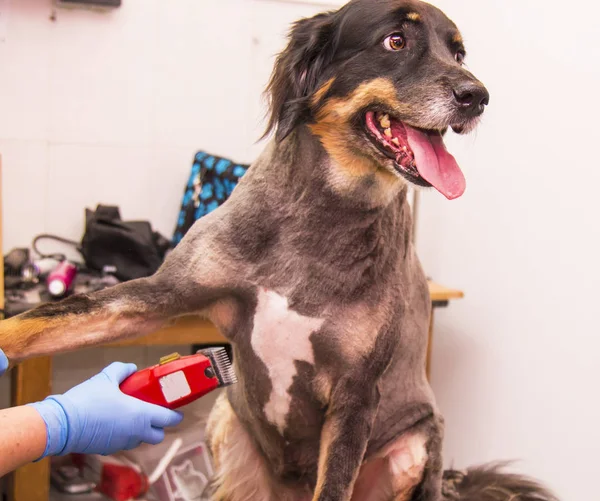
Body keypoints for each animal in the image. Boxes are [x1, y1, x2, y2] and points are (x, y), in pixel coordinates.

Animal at [2, 0, 560, 500]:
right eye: (396, 41)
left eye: (458, 52)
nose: (477, 95)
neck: (322, 213)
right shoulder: (160, 294)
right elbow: (42, 322)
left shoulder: (356, 393)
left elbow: (334, 484)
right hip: (226, 424)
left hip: (417, 447)